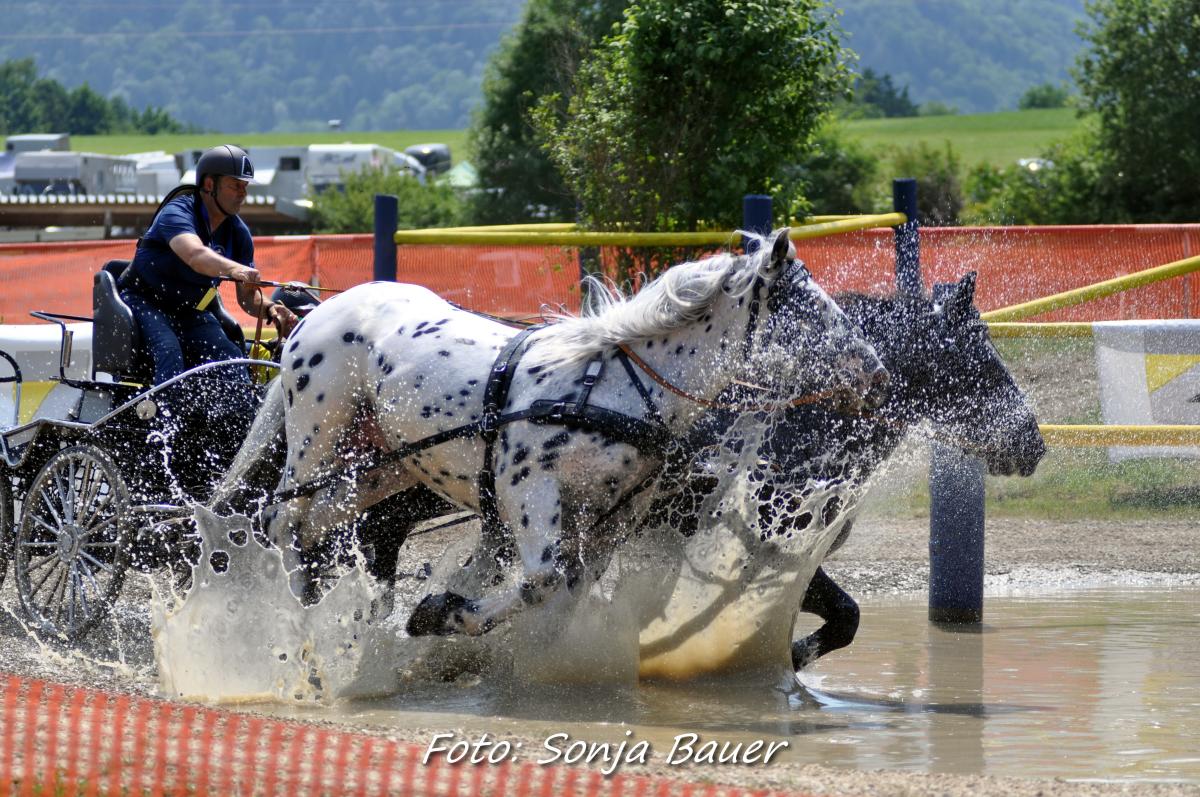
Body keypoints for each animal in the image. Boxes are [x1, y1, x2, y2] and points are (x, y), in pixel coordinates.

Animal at [214, 228, 889, 639]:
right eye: (807, 309)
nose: (877, 372)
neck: (616, 387)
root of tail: (317, 315)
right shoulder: (528, 490)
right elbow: (541, 579)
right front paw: (441, 615)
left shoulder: (615, 517)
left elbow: (570, 586)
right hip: (318, 440)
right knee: (281, 518)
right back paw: (293, 613)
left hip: (383, 464)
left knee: (313, 523)